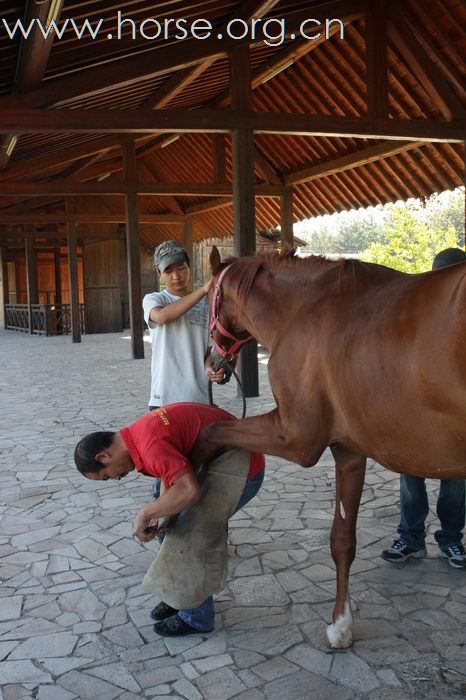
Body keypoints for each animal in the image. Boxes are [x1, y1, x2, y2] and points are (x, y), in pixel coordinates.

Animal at [197, 246, 466, 652]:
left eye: (208, 296)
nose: (211, 363)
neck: (302, 308)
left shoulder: (295, 439)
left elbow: (213, 430)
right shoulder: (348, 452)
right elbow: (342, 540)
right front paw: (341, 625)